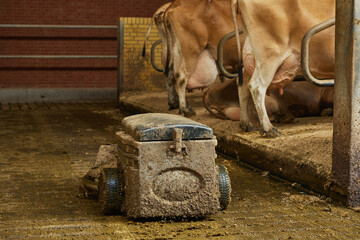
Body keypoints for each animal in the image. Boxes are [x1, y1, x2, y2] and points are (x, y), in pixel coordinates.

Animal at [231, 0, 334, 137]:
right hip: (270, 54)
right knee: (256, 86)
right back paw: (269, 129)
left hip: (252, 55)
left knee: (242, 84)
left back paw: (246, 124)